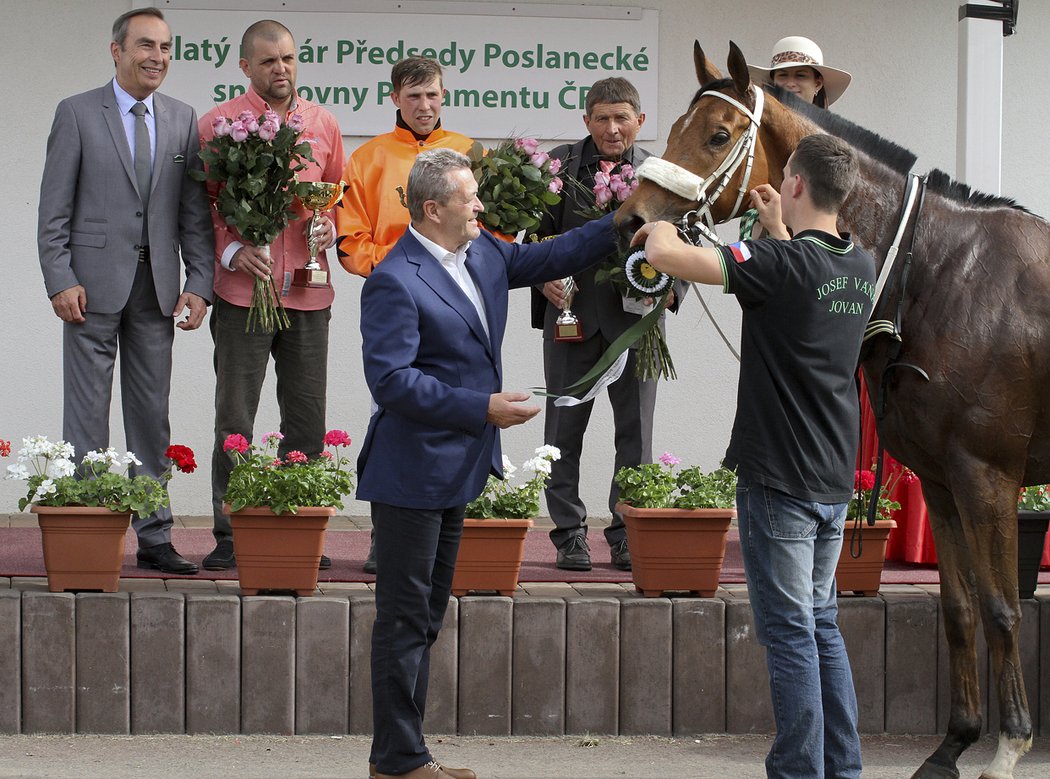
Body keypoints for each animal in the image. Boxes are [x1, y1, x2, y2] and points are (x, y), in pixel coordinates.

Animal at [613, 41, 1050, 779]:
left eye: (719, 135)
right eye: (671, 127)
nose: (634, 223)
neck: (941, 271)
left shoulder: (988, 478)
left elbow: (1001, 608)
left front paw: (1008, 745)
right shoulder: (942, 481)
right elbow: (959, 608)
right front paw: (952, 745)